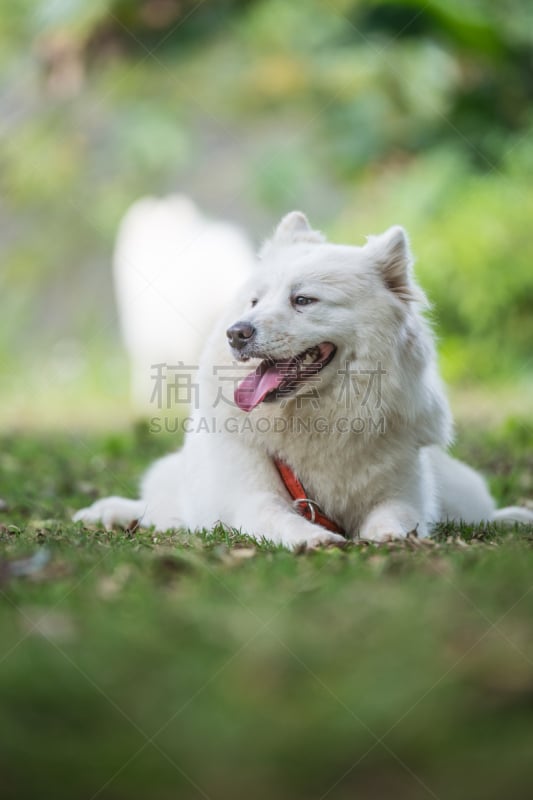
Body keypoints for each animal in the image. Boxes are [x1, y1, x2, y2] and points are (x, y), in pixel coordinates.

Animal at [75, 211, 532, 552]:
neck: (322, 417)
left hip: (460, 488)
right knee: (159, 508)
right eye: (255, 301)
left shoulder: (404, 490)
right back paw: (107, 512)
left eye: (303, 300)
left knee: (477, 512)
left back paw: (513, 517)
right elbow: (277, 517)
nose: (237, 332)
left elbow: (397, 513)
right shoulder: (252, 495)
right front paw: (314, 538)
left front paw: (387, 535)